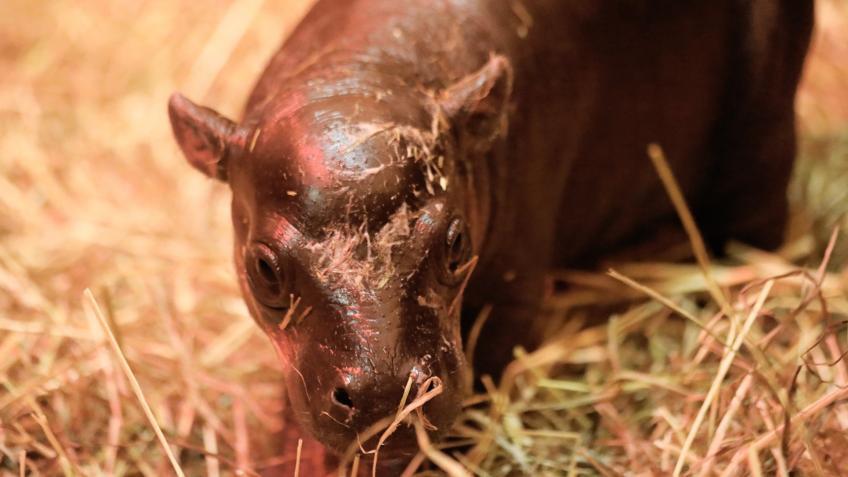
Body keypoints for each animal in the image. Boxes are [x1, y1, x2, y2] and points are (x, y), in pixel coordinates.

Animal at [169, 0, 812, 472]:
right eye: (263, 269)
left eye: (456, 244)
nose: (385, 394)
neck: (359, 70)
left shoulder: (513, 290)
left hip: (763, 140)